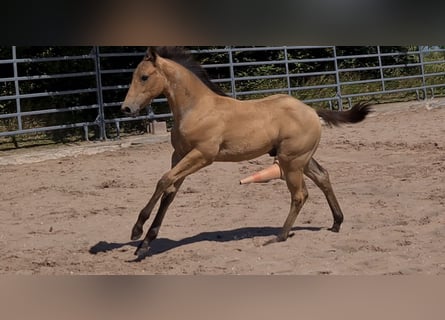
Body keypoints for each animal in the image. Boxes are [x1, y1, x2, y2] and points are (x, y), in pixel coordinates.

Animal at [121, 47, 372, 258]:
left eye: (144, 77)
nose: (126, 108)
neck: (198, 109)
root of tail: (311, 110)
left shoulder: (203, 155)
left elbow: (163, 181)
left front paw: (137, 230)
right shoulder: (179, 155)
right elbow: (169, 193)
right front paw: (144, 244)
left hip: (291, 162)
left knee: (300, 194)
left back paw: (280, 236)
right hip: (301, 159)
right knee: (323, 177)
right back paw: (336, 222)